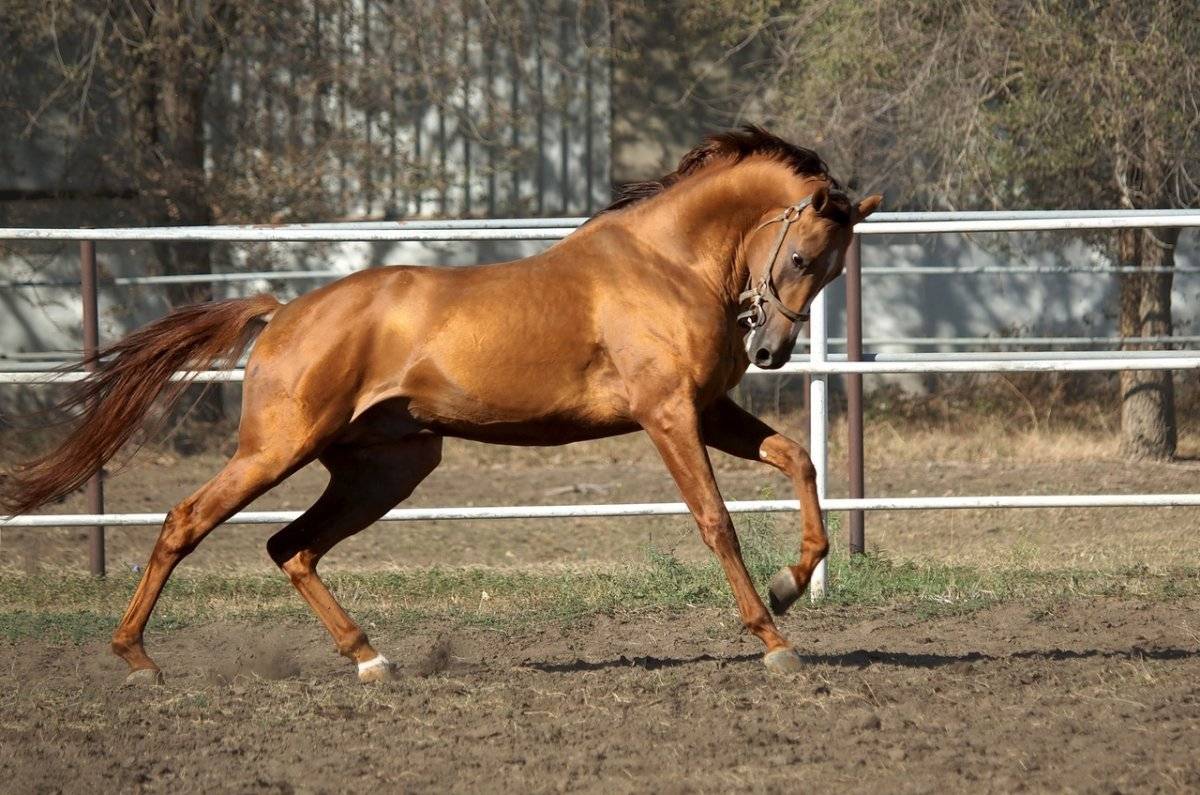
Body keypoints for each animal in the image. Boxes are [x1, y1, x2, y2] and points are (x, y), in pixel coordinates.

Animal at [2, 126, 883, 686]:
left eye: (835, 269)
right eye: (801, 257)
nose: (771, 351)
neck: (664, 262)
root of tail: (282, 313)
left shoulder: (709, 408)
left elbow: (798, 460)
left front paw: (791, 583)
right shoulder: (668, 414)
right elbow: (716, 521)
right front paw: (773, 638)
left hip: (387, 467)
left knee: (292, 546)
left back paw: (370, 658)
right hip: (276, 449)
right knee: (188, 522)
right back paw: (137, 659)